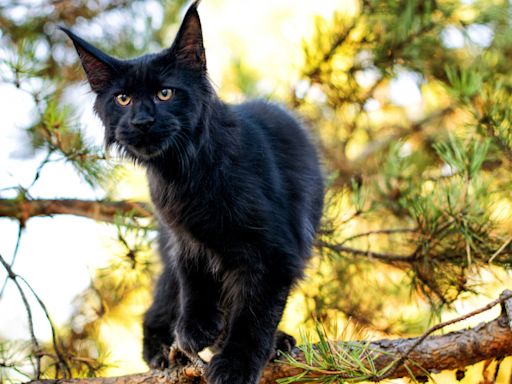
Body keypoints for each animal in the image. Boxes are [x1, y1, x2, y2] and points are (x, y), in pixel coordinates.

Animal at [61, 1, 324, 382]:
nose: (142, 122)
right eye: (122, 99)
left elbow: (253, 314)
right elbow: (193, 279)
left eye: (165, 93)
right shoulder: (182, 236)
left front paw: (235, 363)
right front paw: (197, 327)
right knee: (161, 300)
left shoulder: (275, 253)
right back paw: (162, 352)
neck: (184, 173)